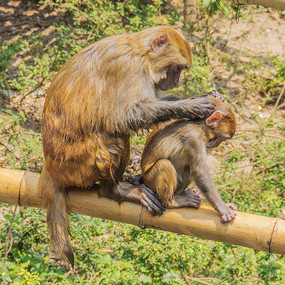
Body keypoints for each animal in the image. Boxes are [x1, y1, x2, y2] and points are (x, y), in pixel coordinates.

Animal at [38, 26, 213, 264]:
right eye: (177, 68)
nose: (176, 82)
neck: (139, 50)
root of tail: (50, 167)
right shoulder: (129, 67)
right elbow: (124, 117)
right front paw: (191, 105)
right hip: (81, 166)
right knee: (116, 136)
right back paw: (114, 190)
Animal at [142, 91, 237, 222]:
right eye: (222, 139)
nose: (216, 145)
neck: (199, 126)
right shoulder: (193, 137)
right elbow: (199, 171)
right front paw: (222, 207)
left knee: (187, 169)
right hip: (149, 178)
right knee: (165, 164)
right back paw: (171, 202)